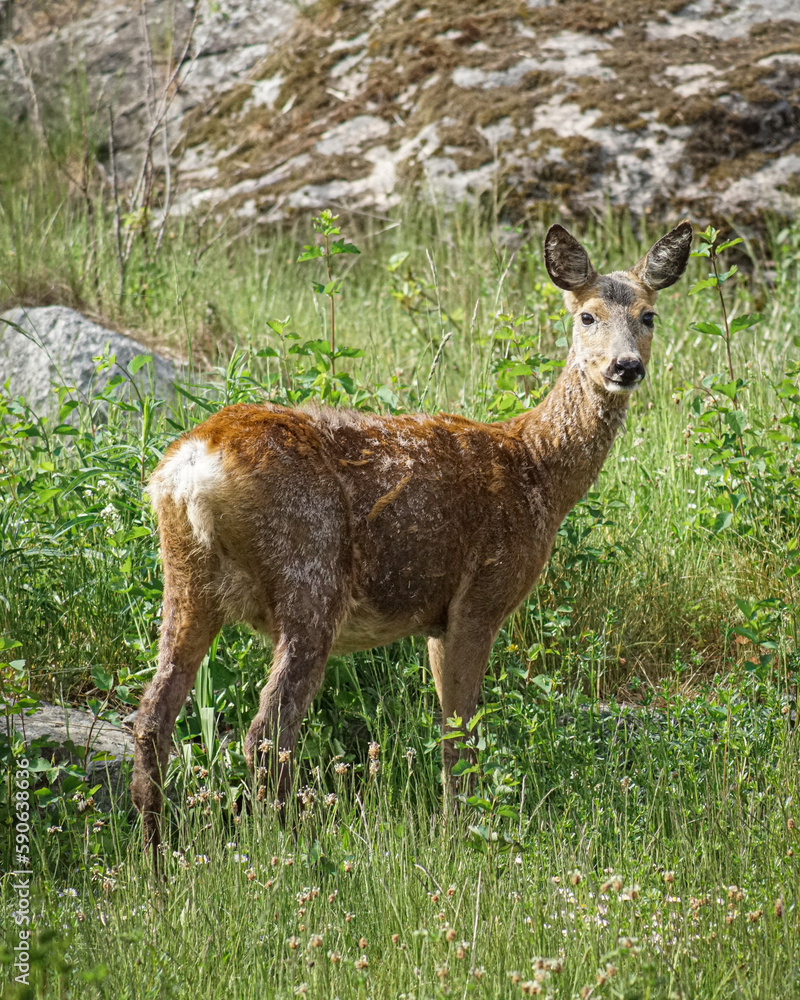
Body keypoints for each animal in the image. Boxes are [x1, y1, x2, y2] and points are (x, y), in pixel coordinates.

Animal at [131, 221, 692, 860]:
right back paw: (295, 850)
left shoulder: (435, 620)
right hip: (309, 573)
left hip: (186, 581)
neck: (537, 470)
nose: (625, 367)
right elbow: (461, 731)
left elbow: (449, 725)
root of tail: (190, 469)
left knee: (153, 718)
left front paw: (456, 822)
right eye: (587, 315)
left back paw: (156, 858)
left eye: (649, 315)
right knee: (268, 731)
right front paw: (465, 831)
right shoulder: (480, 596)